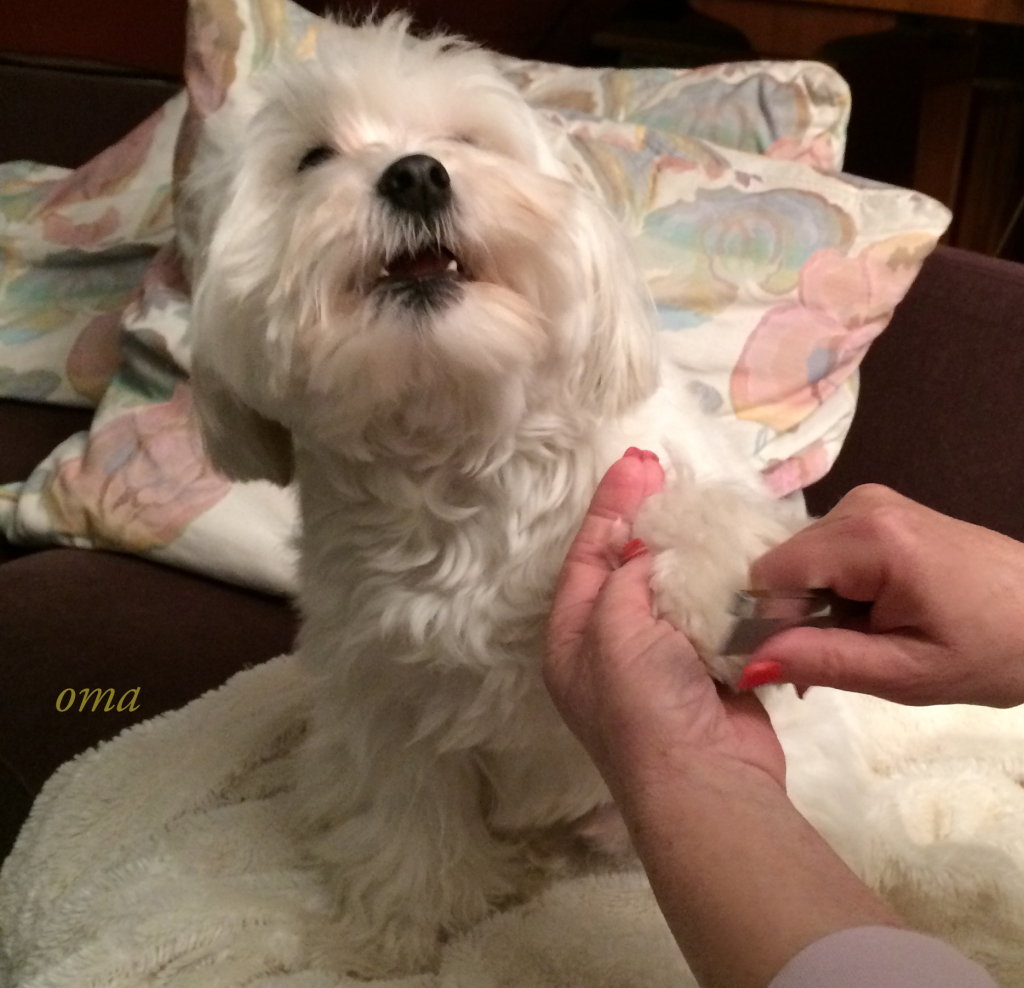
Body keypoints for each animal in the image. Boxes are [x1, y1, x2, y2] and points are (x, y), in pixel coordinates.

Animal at [186, 17, 798, 978]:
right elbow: (404, 814)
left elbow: (695, 512)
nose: (415, 174)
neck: (458, 447)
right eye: (312, 158)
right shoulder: (382, 695)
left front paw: (708, 575)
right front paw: (398, 927)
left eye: (466, 142)